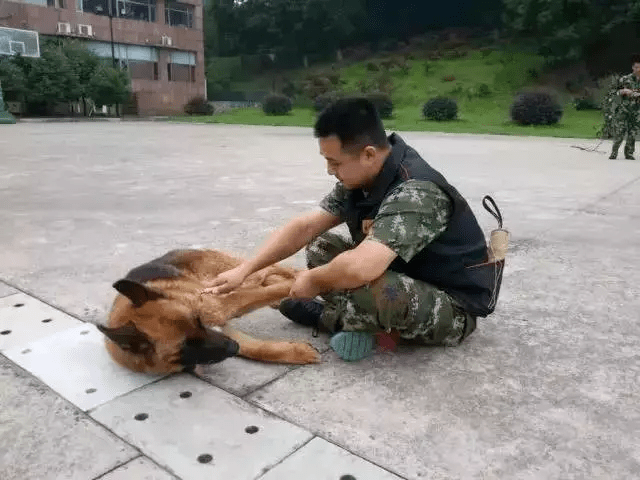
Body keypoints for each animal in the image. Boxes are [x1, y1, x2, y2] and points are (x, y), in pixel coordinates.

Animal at [97, 249, 320, 374]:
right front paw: (296, 352)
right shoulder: (223, 330)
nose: (233, 347)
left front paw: (306, 281)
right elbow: (256, 349)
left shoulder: (220, 307)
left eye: (197, 321)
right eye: (187, 345)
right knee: (266, 277)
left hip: (232, 277)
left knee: (270, 270)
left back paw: (299, 276)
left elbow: (265, 292)